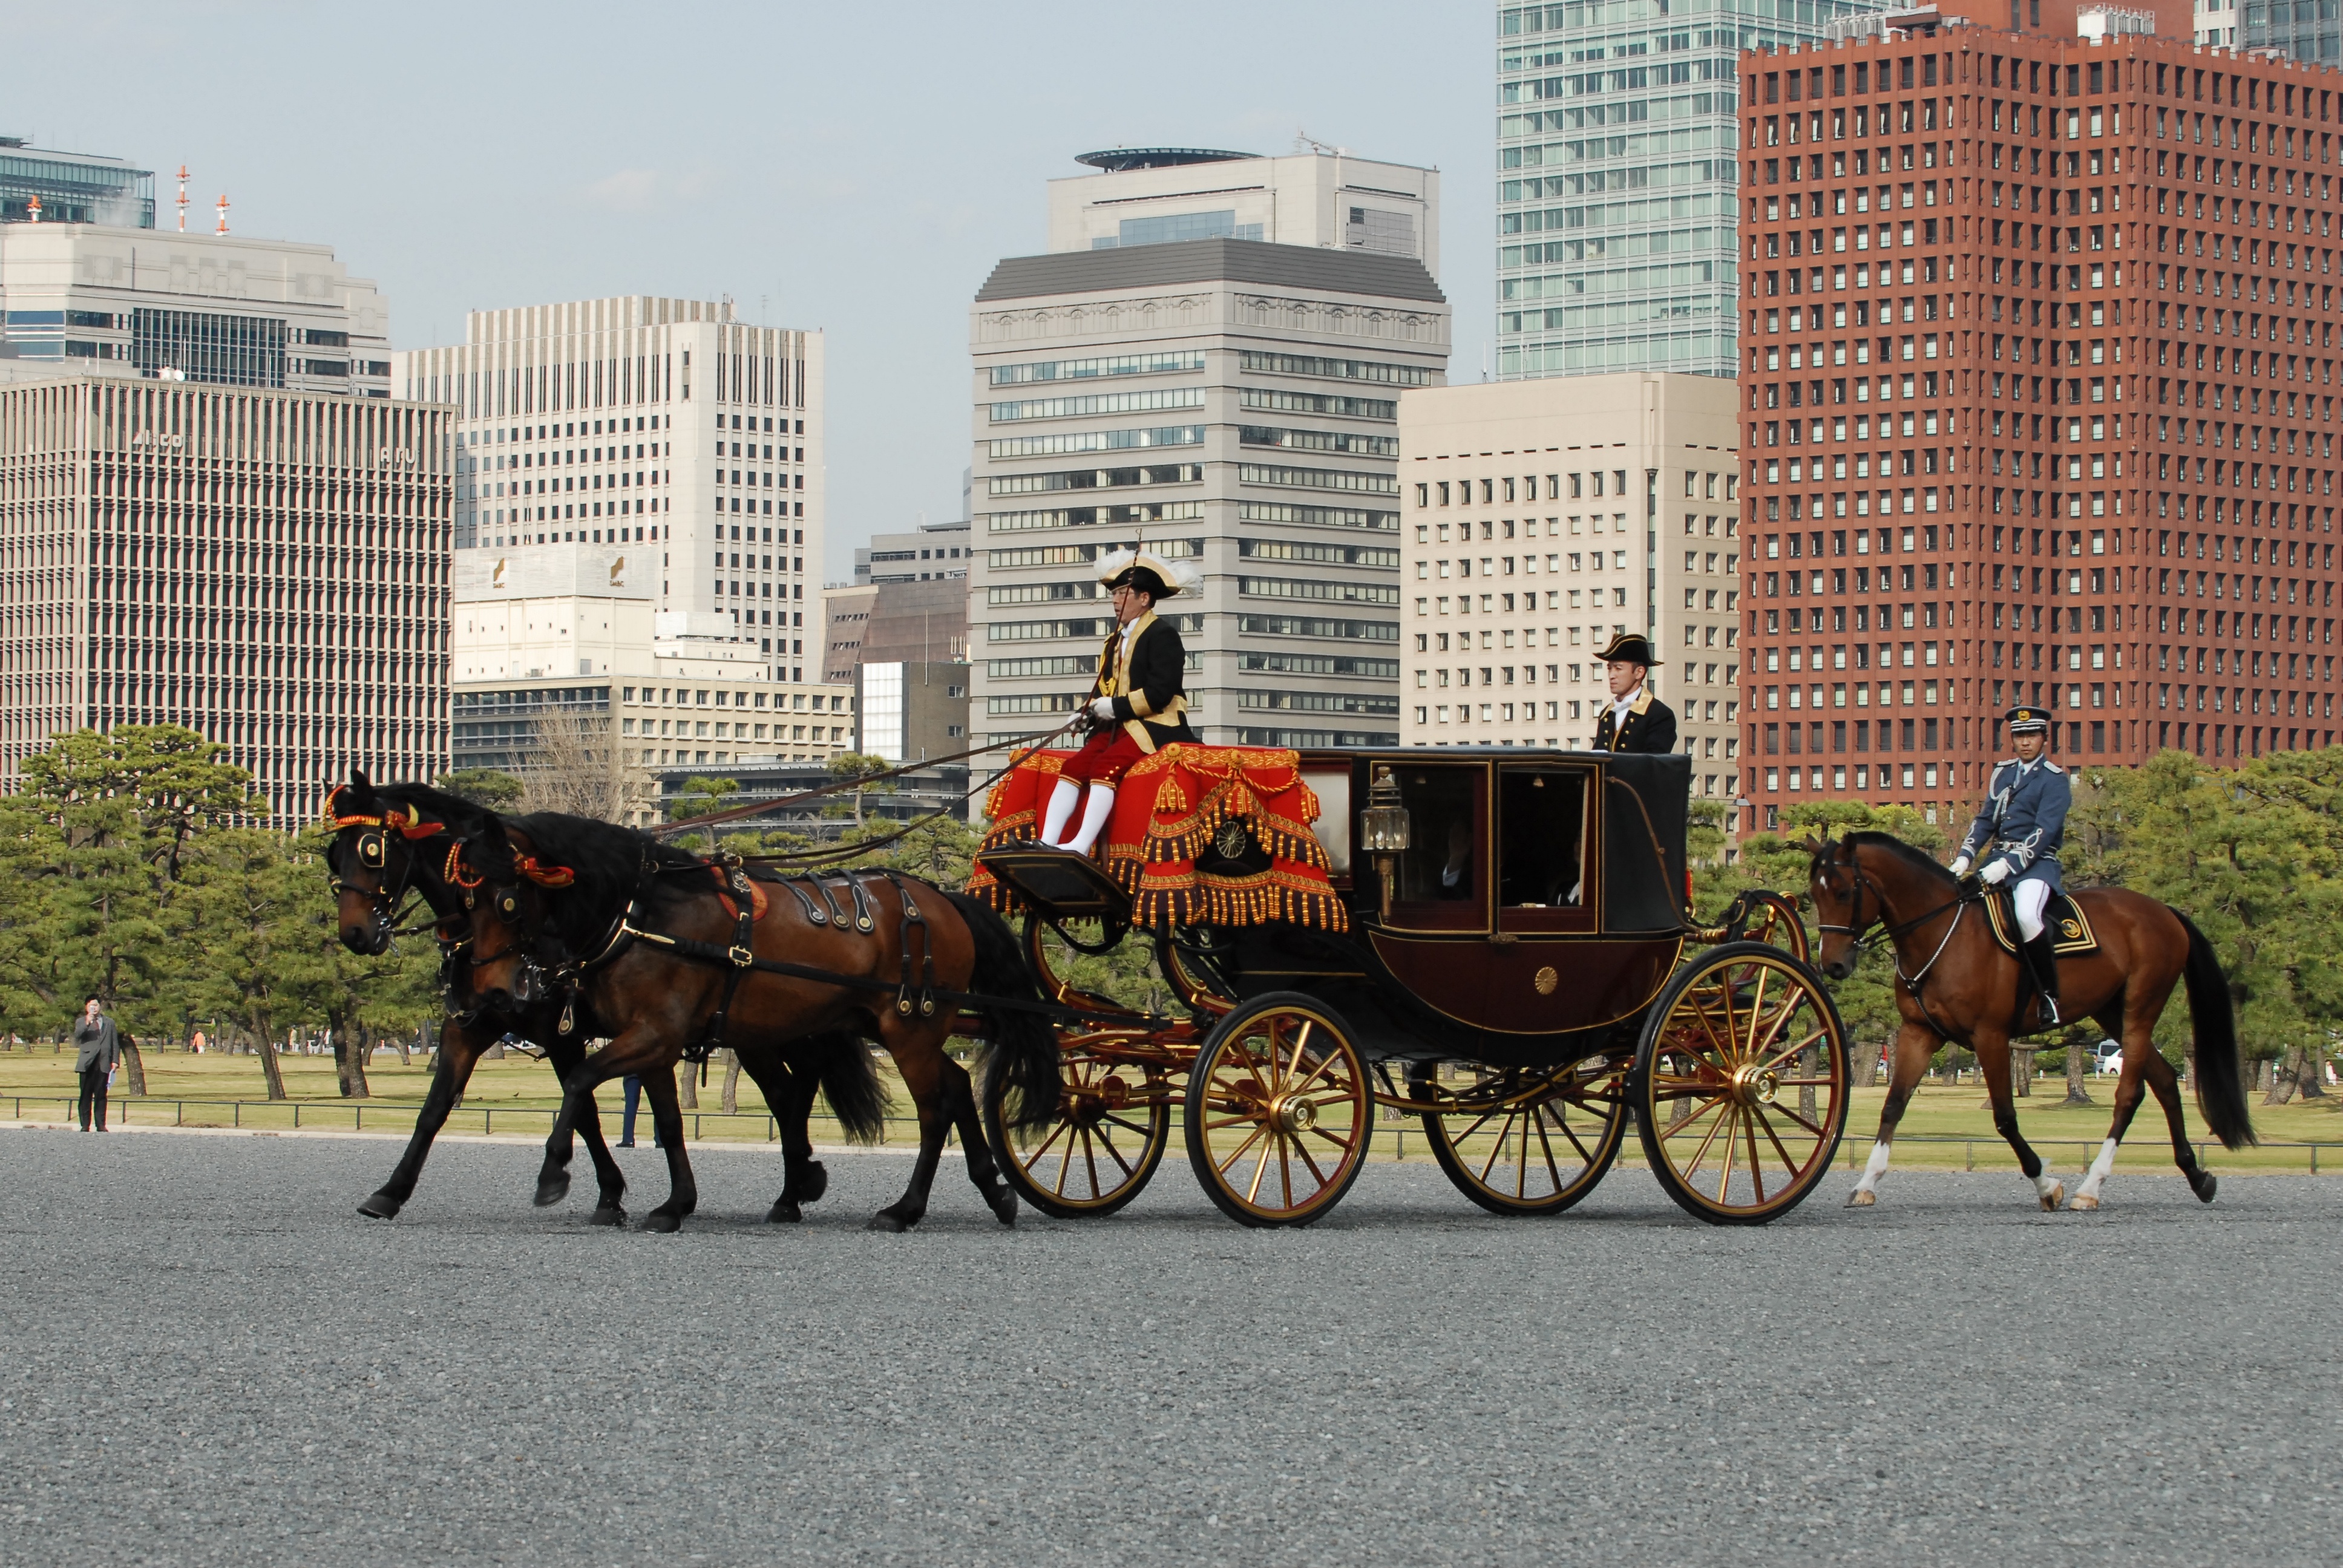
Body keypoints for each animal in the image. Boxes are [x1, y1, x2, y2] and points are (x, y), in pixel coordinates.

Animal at [326, 778, 880, 1228]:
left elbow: (586, 1108)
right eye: (334, 854)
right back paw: (795, 1188)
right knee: (787, 1096)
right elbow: (435, 1108)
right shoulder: (471, 1025)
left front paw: (598, 1191)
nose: (355, 934)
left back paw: (798, 1184)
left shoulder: (560, 1032)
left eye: (372, 850)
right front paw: (391, 1191)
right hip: (755, 1033)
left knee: (791, 1093)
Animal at [452, 806, 1059, 1237]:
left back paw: (904, 1208)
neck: (645, 915)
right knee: (953, 1087)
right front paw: (675, 1203)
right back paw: (993, 1189)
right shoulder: (654, 1041)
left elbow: (580, 1081)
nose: (492, 989)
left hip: (909, 1029)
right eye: (466, 900)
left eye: (505, 901)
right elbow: (668, 1120)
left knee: (934, 1110)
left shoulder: (653, 1034)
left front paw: (554, 1171)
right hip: (894, 1026)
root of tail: (942, 898)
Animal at [1799, 829, 2258, 1209]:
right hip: (2110, 1011)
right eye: (1814, 894)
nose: (1833, 965)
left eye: (1843, 892)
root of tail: (2162, 909)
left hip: (2139, 1011)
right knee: (2164, 1081)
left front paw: (2046, 1184)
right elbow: (1893, 1105)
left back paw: (2091, 1187)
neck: (1943, 933)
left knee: (2130, 1095)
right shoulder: (1919, 1033)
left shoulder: (1990, 1036)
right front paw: (1867, 1182)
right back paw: (2196, 1175)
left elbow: (2005, 1117)